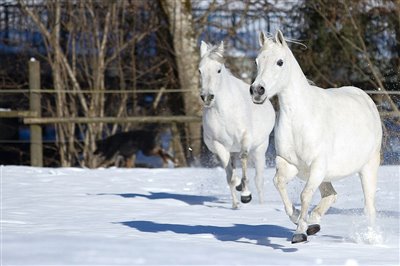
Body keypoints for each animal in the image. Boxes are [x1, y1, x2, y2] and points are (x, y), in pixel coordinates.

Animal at [199, 40, 276, 209]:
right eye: (200, 70)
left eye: (219, 70)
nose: (207, 97)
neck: (225, 112)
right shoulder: (220, 146)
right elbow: (230, 178)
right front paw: (236, 204)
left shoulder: (245, 139)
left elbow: (244, 160)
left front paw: (246, 195)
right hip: (232, 150)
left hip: (260, 149)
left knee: (259, 180)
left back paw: (261, 204)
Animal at [250, 30, 384, 243]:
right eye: (257, 61)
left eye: (280, 62)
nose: (257, 91)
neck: (300, 119)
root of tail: (365, 98)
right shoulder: (289, 163)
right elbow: (278, 183)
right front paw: (299, 219)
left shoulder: (317, 166)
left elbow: (305, 195)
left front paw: (299, 233)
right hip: (326, 175)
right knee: (331, 195)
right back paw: (313, 223)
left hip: (368, 167)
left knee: (369, 207)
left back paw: (370, 239)